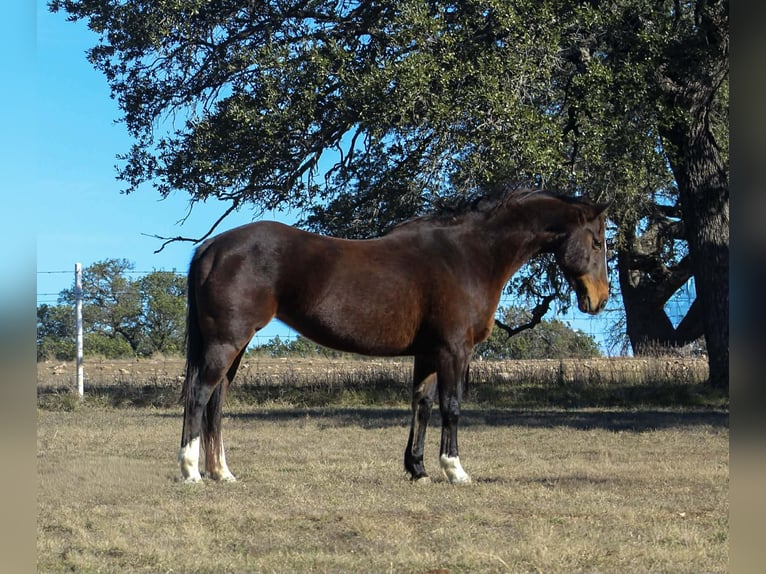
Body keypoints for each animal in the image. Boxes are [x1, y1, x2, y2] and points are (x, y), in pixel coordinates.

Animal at [178, 188, 610, 484]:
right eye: (596, 241)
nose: (600, 299)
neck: (468, 256)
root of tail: (212, 247)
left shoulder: (429, 353)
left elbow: (422, 404)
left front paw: (418, 469)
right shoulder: (454, 350)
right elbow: (452, 406)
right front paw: (455, 470)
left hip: (235, 346)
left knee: (217, 401)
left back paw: (222, 473)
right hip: (227, 343)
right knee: (200, 395)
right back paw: (191, 471)